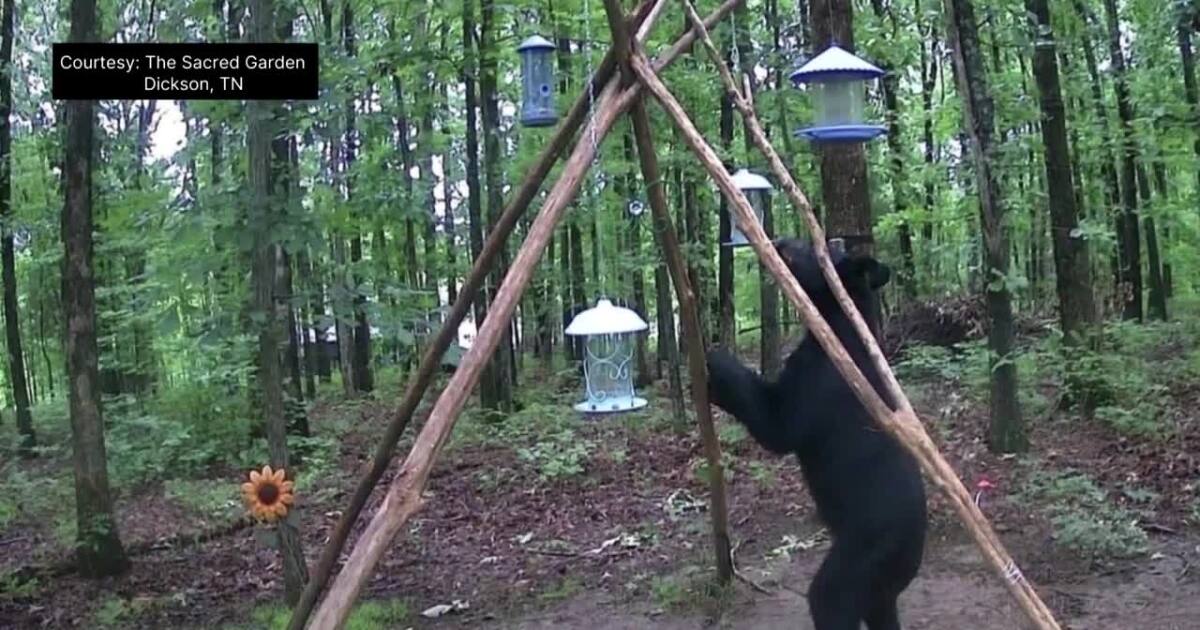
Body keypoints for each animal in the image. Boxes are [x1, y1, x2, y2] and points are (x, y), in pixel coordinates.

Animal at [706, 238, 926, 630]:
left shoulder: (816, 386)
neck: (837, 329)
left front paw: (714, 360)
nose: (781, 241)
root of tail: (916, 545)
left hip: (864, 552)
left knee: (831, 598)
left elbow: (776, 423)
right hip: (882, 585)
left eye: (812, 246)